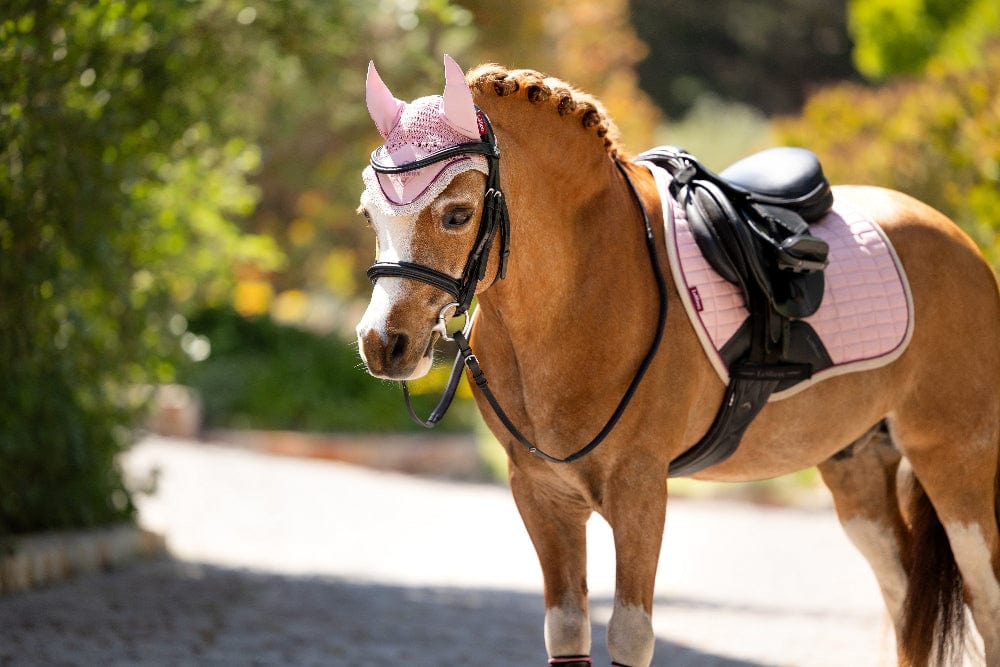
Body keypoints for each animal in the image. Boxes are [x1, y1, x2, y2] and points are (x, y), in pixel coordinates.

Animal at [354, 57, 1000, 667]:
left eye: (457, 214)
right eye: (369, 216)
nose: (383, 343)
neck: (584, 283)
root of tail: (958, 241)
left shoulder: (640, 491)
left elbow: (630, 633)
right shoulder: (542, 495)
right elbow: (566, 629)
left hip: (955, 462)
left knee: (986, 598)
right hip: (858, 470)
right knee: (902, 597)